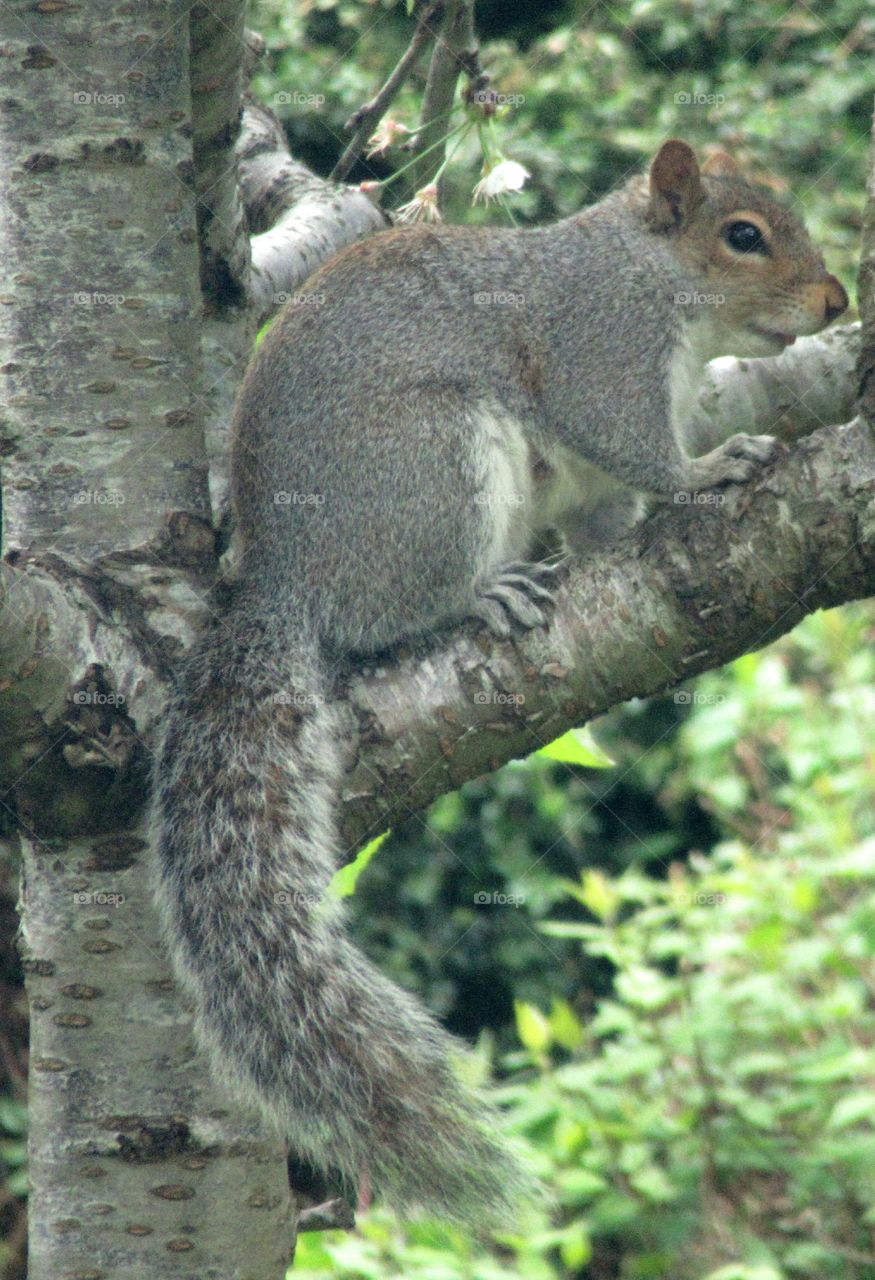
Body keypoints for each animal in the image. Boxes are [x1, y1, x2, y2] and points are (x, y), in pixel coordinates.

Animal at [150, 137, 849, 1218]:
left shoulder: (599, 474)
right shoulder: (598, 351)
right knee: (389, 614)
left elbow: (608, 518)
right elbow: (632, 443)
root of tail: (281, 582)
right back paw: (482, 598)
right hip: (437, 468)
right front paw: (709, 469)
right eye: (743, 236)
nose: (835, 299)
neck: (655, 279)